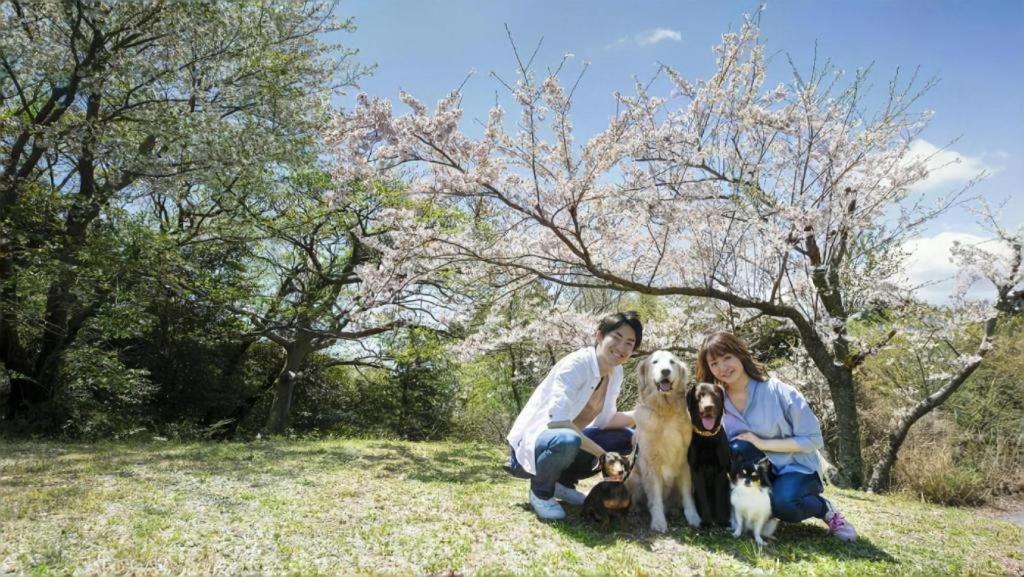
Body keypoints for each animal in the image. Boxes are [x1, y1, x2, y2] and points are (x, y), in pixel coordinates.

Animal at [684, 383, 733, 528]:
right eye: (699, 396)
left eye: (715, 396)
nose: (708, 407)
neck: (707, 436)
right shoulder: (696, 470)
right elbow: (702, 496)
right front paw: (706, 521)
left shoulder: (721, 470)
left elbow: (719, 496)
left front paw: (721, 520)